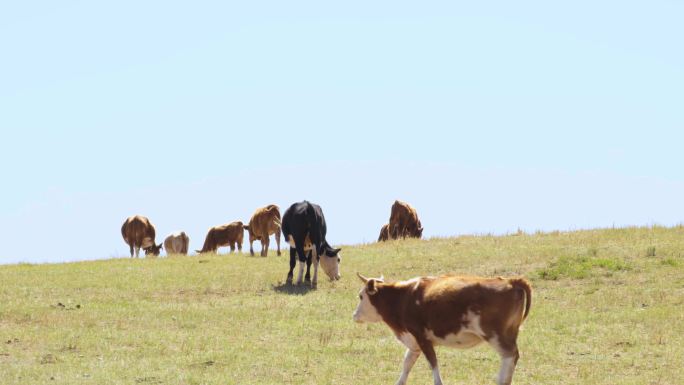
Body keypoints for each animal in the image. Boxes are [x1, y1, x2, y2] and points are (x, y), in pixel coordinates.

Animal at [356, 272, 532, 384]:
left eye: (360, 296)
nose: (354, 315)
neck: (403, 297)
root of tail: (511, 281)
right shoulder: (415, 343)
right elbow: (407, 364)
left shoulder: (422, 338)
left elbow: (433, 363)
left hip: (496, 336)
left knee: (509, 356)